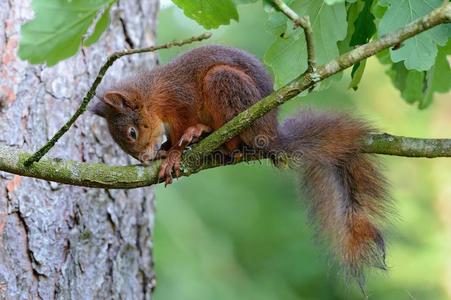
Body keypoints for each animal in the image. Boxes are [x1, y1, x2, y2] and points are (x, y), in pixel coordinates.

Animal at [91, 45, 388, 286]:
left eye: (131, 133)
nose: (144, 159)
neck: (155, 94)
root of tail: (271, 135)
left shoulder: (182, 100)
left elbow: (182, 127)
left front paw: (173, 153)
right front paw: (165, 150)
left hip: (226, 84)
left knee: (234, 140)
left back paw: (210, 137)